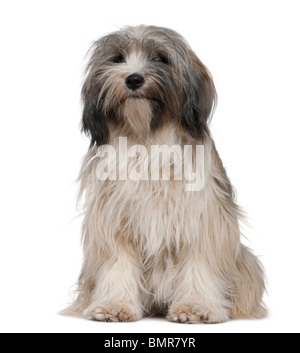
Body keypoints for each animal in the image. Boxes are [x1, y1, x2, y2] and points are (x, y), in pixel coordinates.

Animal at [64, 24, 266, 322]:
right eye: (118, 58)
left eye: (160, 58)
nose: (134, 79)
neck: (147, 139)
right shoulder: (115, 222)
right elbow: (117, 264)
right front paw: (115, 305)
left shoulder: (202, 219)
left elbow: (199, 263)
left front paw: (196, 306)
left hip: (245, 261)